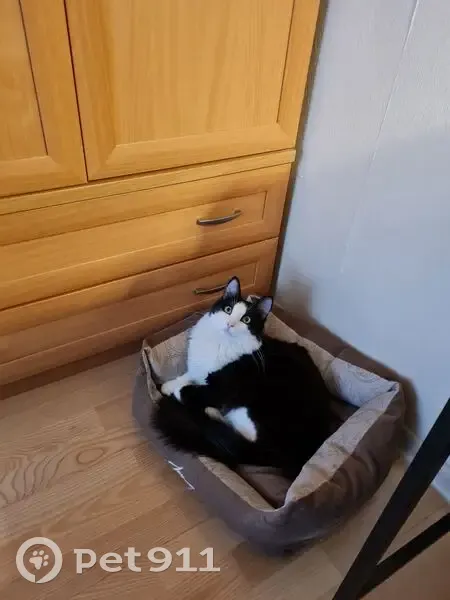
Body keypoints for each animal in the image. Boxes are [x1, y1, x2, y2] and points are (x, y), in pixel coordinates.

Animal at [152, 276, 334, 479]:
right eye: (228, 310)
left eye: (246, 319)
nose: (230, 324)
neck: (221, 343)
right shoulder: (200, 370)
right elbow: (189, 374)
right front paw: (169, 385)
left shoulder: (222, 387)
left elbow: (191, 390)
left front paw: (177, 391)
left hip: (255, 405)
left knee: (246, 437)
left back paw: (210, 414)